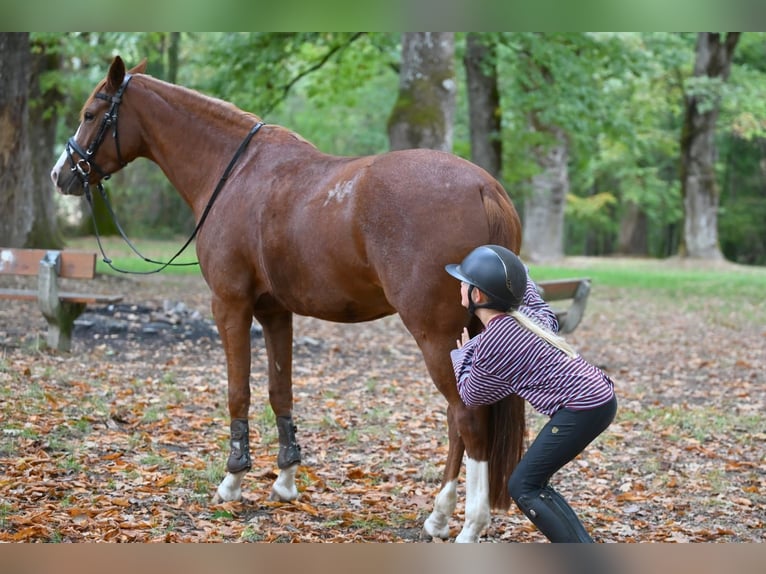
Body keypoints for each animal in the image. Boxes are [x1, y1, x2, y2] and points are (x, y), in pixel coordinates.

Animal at [50, 56, 526, 543]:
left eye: (91, 113)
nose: (61, 174)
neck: (234, 174)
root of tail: (484, 187)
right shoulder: (275, 312)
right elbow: (281, 393)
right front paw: (285, 481)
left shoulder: (230, 305)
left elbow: (238, 392)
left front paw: (233, 480)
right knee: (457, 419)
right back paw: (439, 515)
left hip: (435, 333)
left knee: (466, 417)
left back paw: (470, 524)